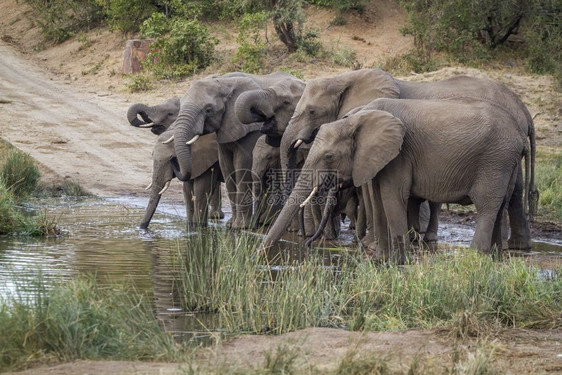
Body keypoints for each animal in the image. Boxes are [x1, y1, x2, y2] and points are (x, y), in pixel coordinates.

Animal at [170, 71, 304, 229]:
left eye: (208, 110)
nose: (172, 160)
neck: (223, 82)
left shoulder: (250, 132)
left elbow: (242, 166)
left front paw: (241, 227)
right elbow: (227, 168)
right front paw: (231, 225)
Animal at [280, 69, 532, 251]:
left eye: (311, 112)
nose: (306, 241)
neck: (345, 77)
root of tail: (523, 109)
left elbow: (371, 192)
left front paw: (368, 243)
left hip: (495, 157)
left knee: (492, 200)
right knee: (512, 194)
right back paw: (512, 248)